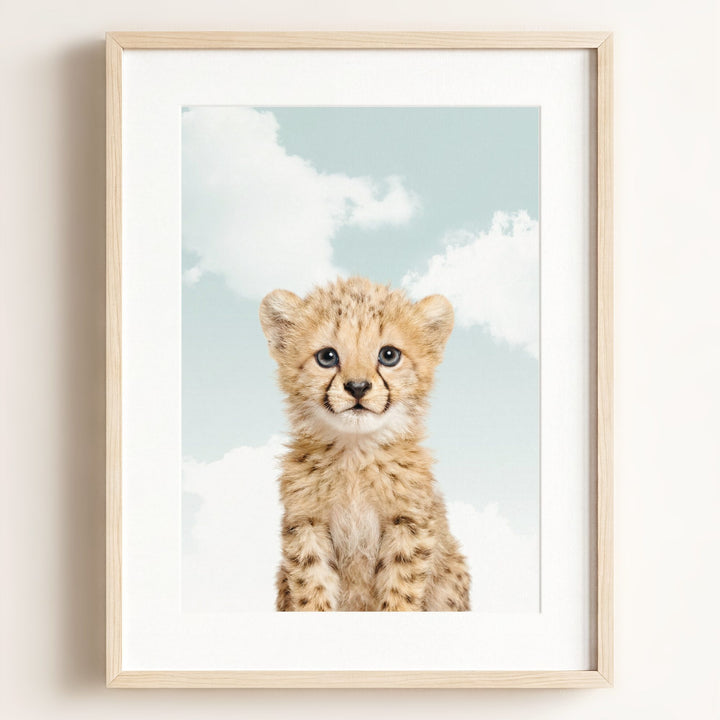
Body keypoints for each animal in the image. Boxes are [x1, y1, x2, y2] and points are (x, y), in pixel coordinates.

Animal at [259, 276, 470, 611]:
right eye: (327, 357)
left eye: (389, 355)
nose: (357, 387)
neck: (355, 453)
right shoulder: (307, 524)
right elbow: (311, 588)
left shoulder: (408, 524)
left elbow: (400, 590)